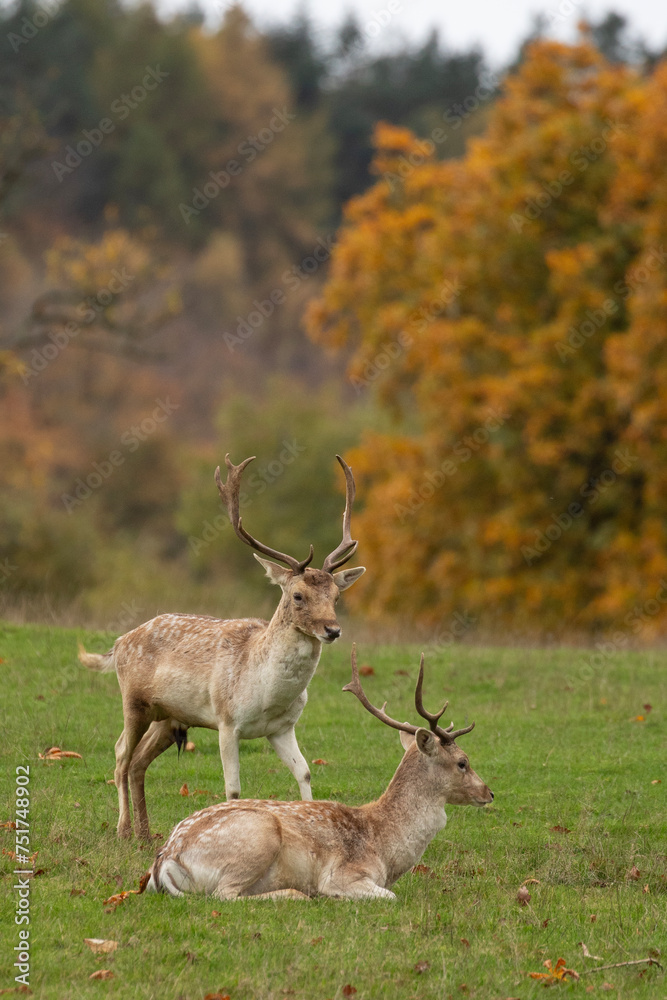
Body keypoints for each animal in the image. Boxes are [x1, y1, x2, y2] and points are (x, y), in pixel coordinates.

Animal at [78, 453, 365, 839]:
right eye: (297, 595)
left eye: (336, 596)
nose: (332, 630)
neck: (266, 691)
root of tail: (120, 642)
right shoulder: (228, 722)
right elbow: (233, 789)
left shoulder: (282, 728)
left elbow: (304, 772)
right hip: (134, 700)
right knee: (121, 753)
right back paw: (124, 830)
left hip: (168, 717)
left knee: (138, 761)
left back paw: (145, 833)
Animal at [144, 646, 493, 899]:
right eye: (463, 761)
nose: (489, 792)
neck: (383, 846)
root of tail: (165, 859)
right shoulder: (343, 874)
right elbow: (389, 897)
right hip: (258, 836)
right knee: (224, 894)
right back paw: (295, 894)